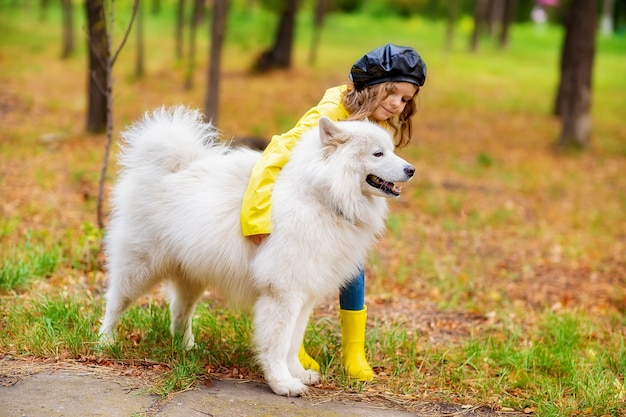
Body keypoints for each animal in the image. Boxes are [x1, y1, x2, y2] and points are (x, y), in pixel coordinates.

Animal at [98, 105, 414, 394]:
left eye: (391, 150)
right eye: (378, 154)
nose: (411, 169)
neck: (322, 197)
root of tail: (171, 167)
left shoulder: (304, 294)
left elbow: (293, 342)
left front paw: (298, 373)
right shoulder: (283, 292)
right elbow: (278, 342)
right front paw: (283, 383)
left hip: (192, 275)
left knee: (179, 312)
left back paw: (186, 347)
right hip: (139, 267)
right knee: (115, 303)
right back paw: (105, 343)